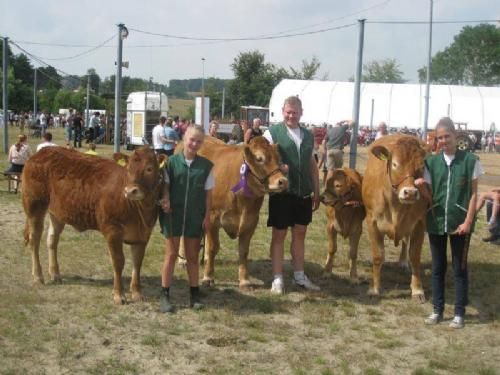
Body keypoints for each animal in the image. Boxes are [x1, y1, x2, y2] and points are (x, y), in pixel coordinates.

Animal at [22, 147, 161, 306]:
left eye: (149, 168)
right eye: (128, 169)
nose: (130, 191)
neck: (139, 212)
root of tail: (43, 151)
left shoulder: (143, 234)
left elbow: (137, 262)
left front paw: (137, 293)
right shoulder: (112, 230)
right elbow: (118, 261)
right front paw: (118, 295)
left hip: (57, 212)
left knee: (52, 240)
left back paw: (55, 274)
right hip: (34, 205)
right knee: (34, 240)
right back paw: (38, 276)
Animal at [195, 137, 290, 286]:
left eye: (278, 159)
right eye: (259, 158)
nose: (283, 181)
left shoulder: (251, 221)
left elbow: (243, 251)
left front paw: (244, 279)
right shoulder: (212, 217)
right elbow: (212, 247)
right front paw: (208, 277)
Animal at [362, 134, 428, 302]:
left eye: (422, 166)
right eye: (395, 164)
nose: (410, 193)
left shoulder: (419, 222)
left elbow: (415, 256)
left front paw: (417, 290)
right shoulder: (372, 222)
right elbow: (378, 255)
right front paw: (374, 289)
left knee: (405, 242)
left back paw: (403, 262)